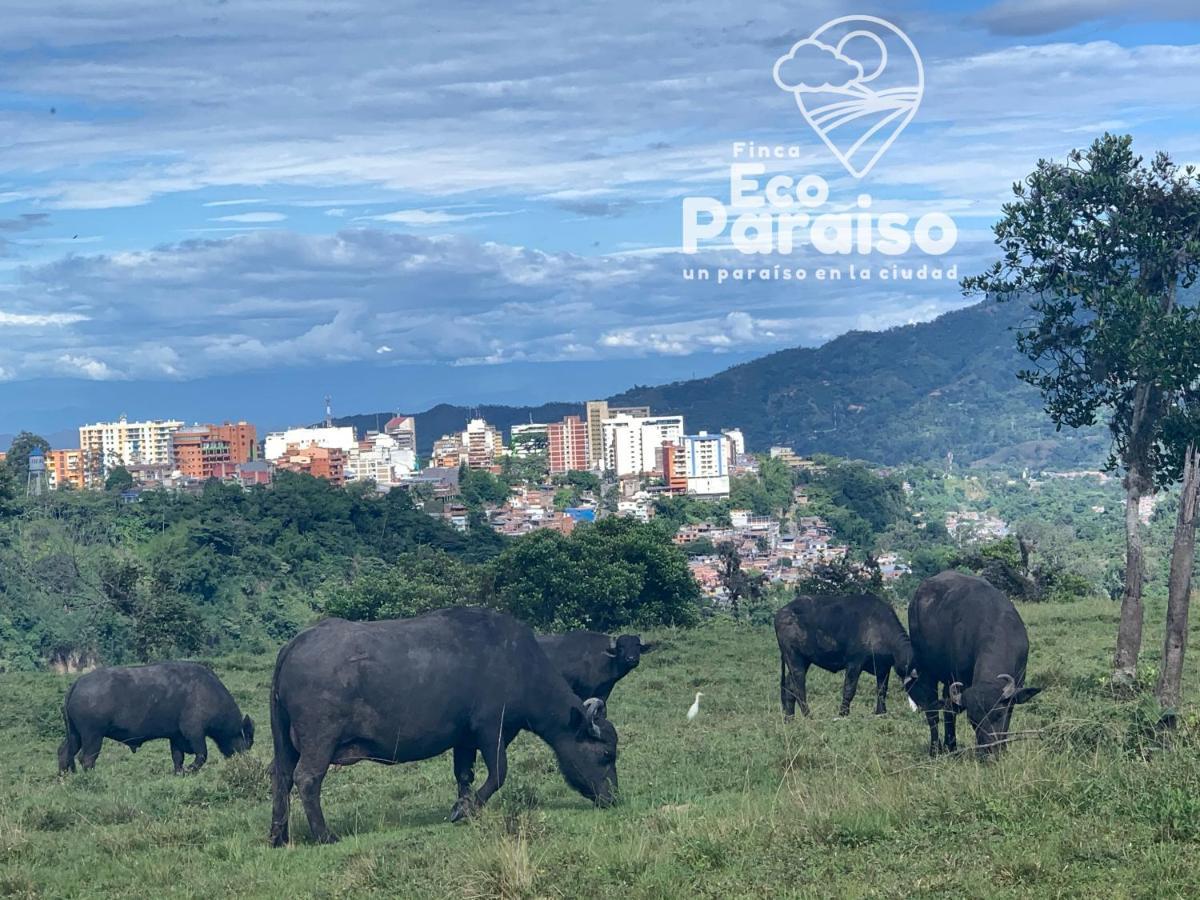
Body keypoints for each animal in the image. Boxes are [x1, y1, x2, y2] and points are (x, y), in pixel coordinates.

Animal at [58, 662, 253, 777]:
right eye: (247, 743)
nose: (245, 762)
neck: (209, 692)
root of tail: (77, 684)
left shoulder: (176, 737)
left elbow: (177, 757)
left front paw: (179, 773)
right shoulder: (194, 732)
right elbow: (201, 755)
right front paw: (190, 770)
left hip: (74, 734)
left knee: (64, 752)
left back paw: (64, 777)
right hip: (93, 735)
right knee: (86, 758)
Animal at [270, 609, 619, 849]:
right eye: (606, 754)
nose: (613, 797)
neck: (518, 665)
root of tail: (294, 644)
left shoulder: (464, 738)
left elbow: (465, 774)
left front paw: (464, 805)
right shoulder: (491, 729)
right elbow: (498, 772)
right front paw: (466, 809)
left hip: (283, 741)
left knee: (282, 777)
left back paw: (278, 835)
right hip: (320, 740)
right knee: (307, 778)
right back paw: (325, 835)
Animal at [772, 595, 912, 724]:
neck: (878, 627)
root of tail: (780, 613)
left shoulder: (884, 668)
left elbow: (882, 690)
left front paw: (881, 712)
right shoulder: (854, 664)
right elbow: (849, 689)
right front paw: (843, 714)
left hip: (803, 660)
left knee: (789, 686)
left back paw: (789, 719)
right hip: (793, 657)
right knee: (798, 686)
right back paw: (808, 716)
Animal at [907, 573, 1041, 758]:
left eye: (998, 714)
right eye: (973, 720)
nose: (989, 748)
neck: (995, 624)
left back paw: (951, 746)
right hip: (927, 670)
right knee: (932, 709)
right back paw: (937, 748)